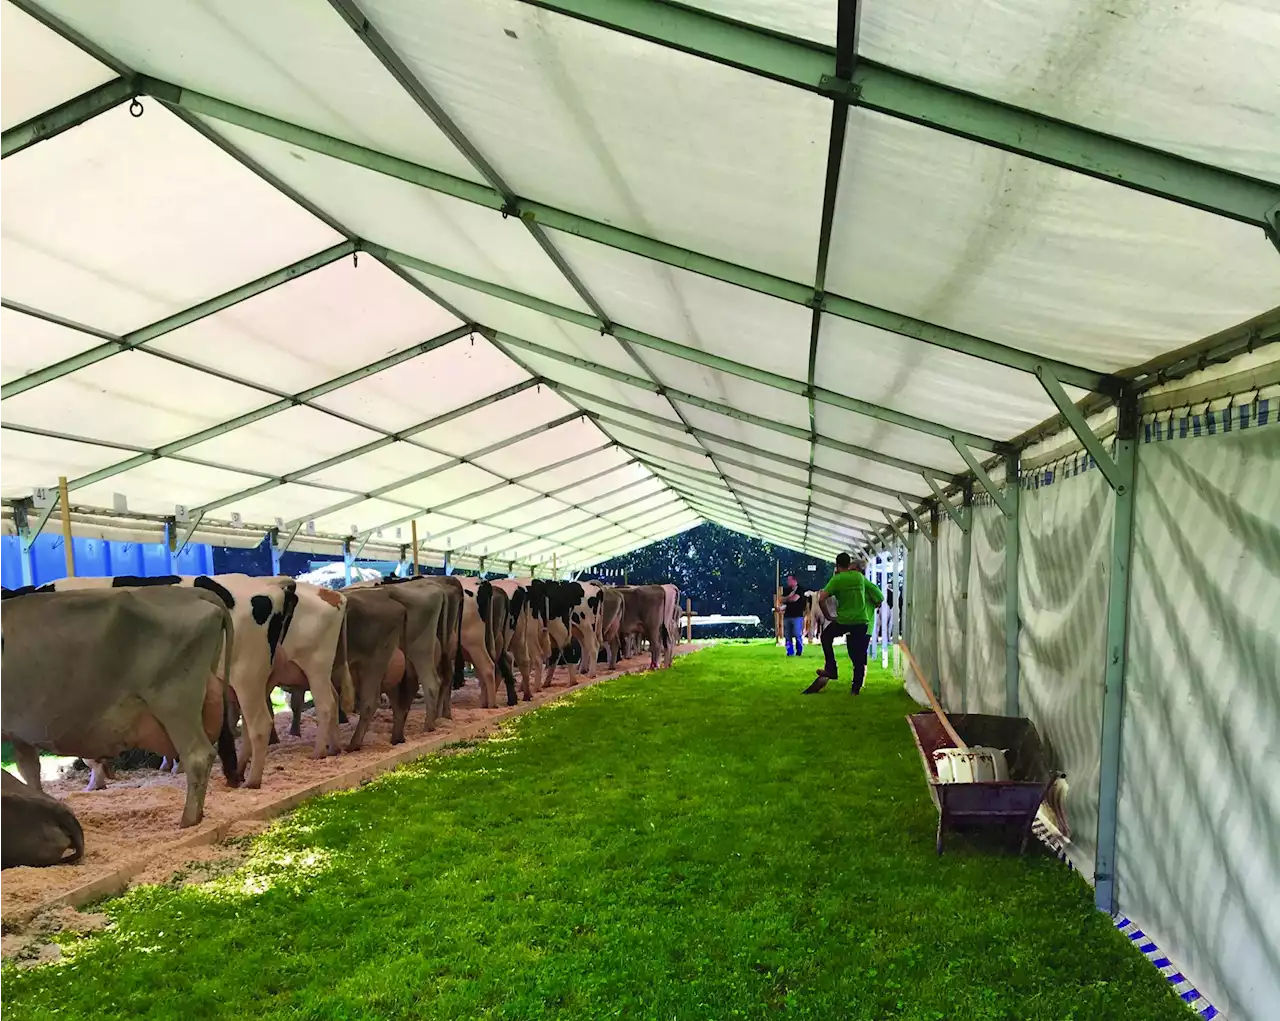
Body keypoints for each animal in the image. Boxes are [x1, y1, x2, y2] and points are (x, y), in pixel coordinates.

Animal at [0, 583, 235, 829]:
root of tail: (190, 592)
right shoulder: (21, 737)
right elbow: (30, 774)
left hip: (174, 703)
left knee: (198, 756)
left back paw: (187, 821)